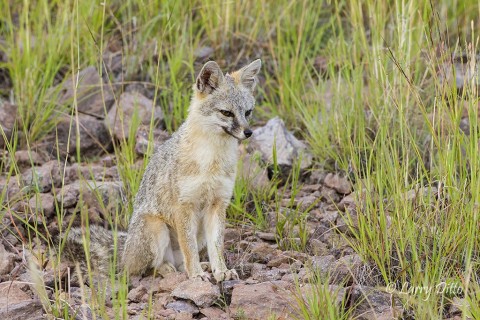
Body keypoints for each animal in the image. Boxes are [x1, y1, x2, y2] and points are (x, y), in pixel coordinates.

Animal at [64, 58, 262, 282]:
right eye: (226, 113)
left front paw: (221, 270)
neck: (211, 160)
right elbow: (189, 248)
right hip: (157, 228)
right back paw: (168, 269)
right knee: (143, 269)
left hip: (198, 231)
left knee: (179, 261)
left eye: (248, 112)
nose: (248, 132)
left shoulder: (218, 204)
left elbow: (216, 246)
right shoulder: (183, 206)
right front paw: (196, 275)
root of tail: (124, 249)